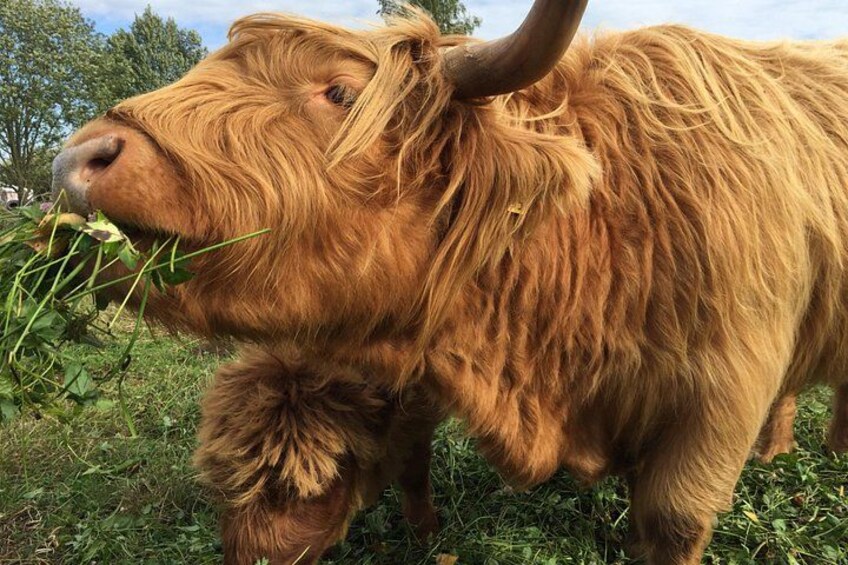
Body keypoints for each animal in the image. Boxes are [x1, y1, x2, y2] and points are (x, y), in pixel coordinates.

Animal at [51, 0, 848, 563]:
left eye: (340, 93)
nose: (77, 157)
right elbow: (410, 455)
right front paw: (425, 530)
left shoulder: (720, 395)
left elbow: (674, 521)